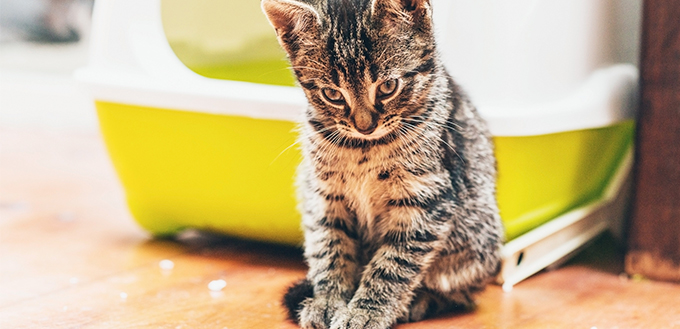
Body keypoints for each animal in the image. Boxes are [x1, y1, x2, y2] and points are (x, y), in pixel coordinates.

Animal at [262, 0, 502, 328]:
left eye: (388, 86)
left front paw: (366, 312)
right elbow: (330, 248)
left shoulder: (426, 199)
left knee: (460, 292)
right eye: (332, 94)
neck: (364, 149)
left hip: (478, 240)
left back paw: (420, 302)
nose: (365, 126)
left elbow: (393, 265)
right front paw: (327, 301)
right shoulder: (324, 196)